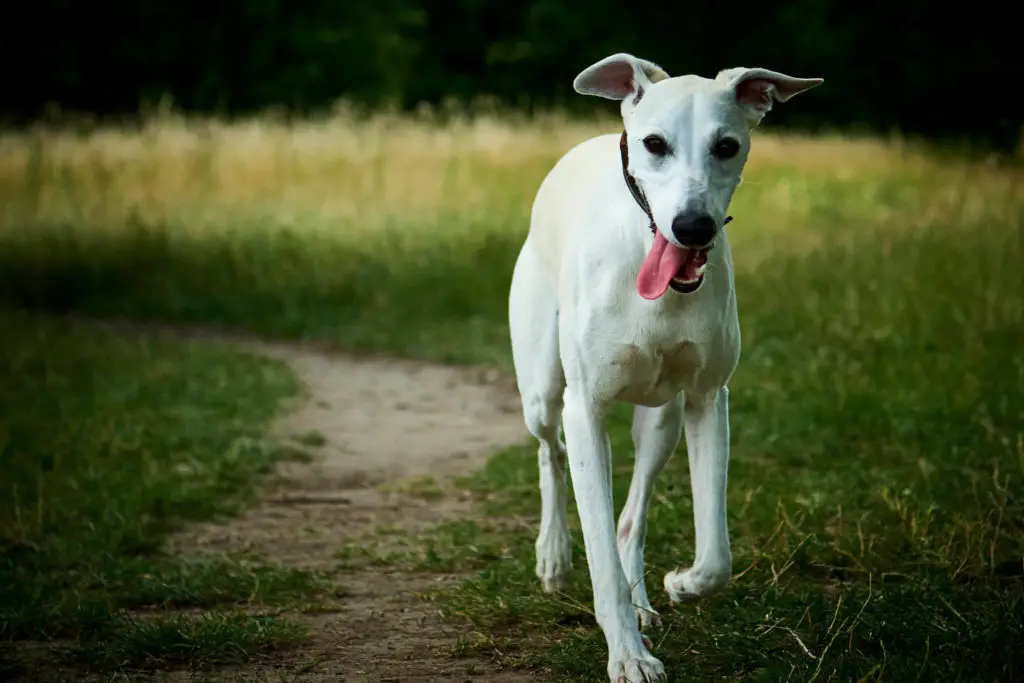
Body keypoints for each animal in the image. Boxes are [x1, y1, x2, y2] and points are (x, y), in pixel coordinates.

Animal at [505, 54, 823, 683]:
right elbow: (599, 551)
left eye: (727, 146)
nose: (693, 227)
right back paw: (553, 557)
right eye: (655, 144)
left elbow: (716, 553)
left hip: (662, 421)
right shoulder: (586, 410)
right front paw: (628, 656)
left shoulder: (707, 399)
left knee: (632, 516)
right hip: (543, 388)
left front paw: (683, 583)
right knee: (549, 450)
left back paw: (643, 597)